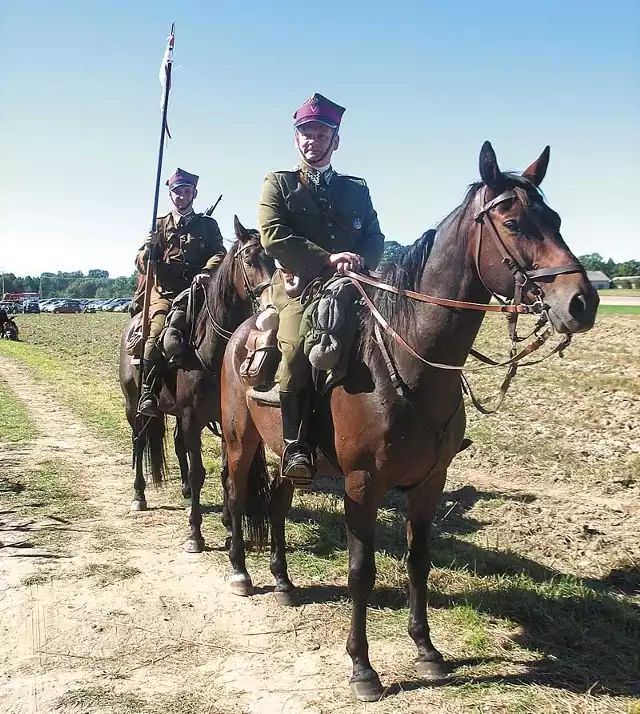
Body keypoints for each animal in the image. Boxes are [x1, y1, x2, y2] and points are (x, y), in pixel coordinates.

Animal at [119, 217, 274, 552]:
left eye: (275, 260)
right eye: (249, 259)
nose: (271, 308)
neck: (214, 351)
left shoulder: (225, 422)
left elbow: (227, 471)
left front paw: (229, 525)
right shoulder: (192, 417)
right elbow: (199, 471)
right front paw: (195, 532)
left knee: (175, 444)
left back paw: (184, 492)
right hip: (132, 405)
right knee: (139, 440)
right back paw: (139, 494)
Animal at [219, 142, 600, 700]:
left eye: (554, 219)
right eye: (512, 221)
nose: (582, 302)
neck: (405, 358)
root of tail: (243, 332)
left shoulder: (429, 482)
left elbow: (418, 562)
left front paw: (427, 650)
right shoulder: (362, 484)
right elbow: (361, 571)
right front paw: (362, 668)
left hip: (292, 459)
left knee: (276, 505)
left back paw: (284, 582)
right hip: (238, 440)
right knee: (235, 495)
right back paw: (241, 575)